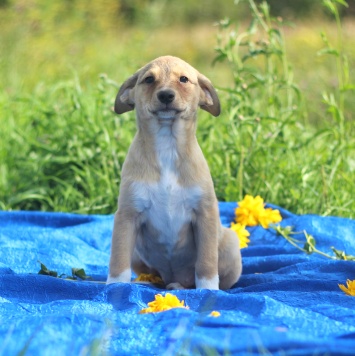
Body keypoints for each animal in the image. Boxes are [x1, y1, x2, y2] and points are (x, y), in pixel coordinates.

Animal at [107, 55, 243, 290]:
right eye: (149, 79)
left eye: (184, 79)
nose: (166, 95)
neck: (167, 146)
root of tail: (176, 278)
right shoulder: (127, 215)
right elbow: (118, 260)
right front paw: (114, 287)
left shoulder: (205, 214)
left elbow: (207, 263)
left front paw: (208, 291)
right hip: (137, 253)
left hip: (231, 245)